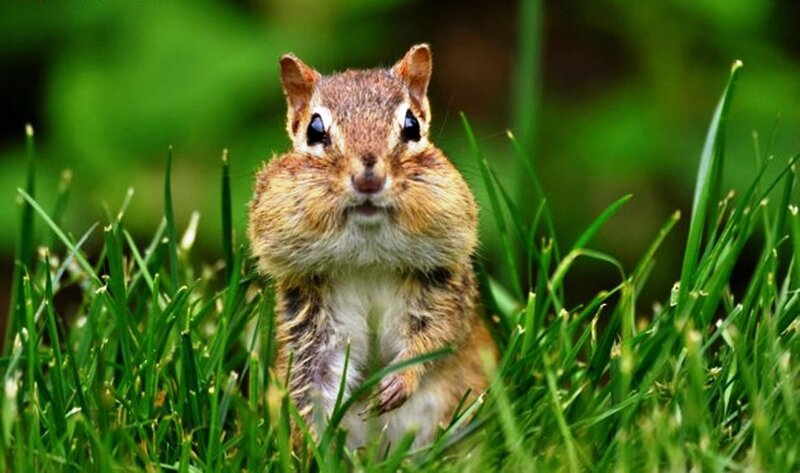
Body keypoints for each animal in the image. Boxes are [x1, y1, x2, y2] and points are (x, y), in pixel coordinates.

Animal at [248, 44, 495, 449]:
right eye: (315, 130)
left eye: (412, 126)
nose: (369, 177)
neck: (367, 256)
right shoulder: (312, 319)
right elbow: (314, 379)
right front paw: (312, 445)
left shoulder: (443, 286)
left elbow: (440, 333)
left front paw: (400, 381)